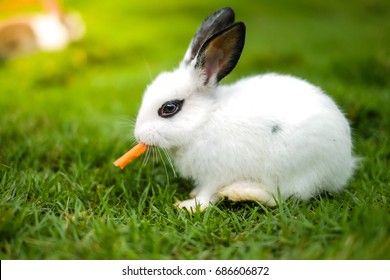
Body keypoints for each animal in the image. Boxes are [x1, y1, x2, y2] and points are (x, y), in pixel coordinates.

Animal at [134, 6, 356, 211]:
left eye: (169, 108)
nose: (138, 135)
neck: (203, 121)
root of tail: (344, 166)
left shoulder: (216, 173)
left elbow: (208, 193)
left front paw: (189, 205)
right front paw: (193, 194)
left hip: (291, 169)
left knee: (281, 197)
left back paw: (240, 192)